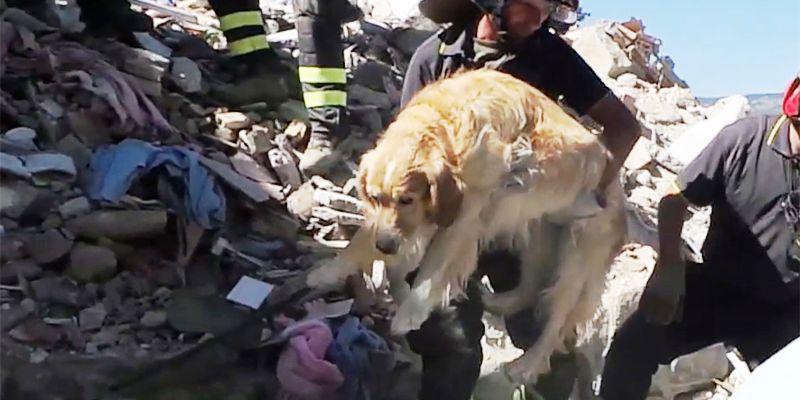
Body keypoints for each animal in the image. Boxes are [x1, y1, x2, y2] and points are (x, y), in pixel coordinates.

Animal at [306, 69, 624, 384]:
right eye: (374, 197)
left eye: (406, 199)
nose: (385, 247)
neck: (446, 125)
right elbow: (364, 238)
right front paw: (328, 271)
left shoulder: (464, 216)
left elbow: (434, 267)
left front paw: (411, 311)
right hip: (537, 230)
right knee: (532, 282)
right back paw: (502, 303)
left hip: (575, 261)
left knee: (557, 321)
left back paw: (528, 365)